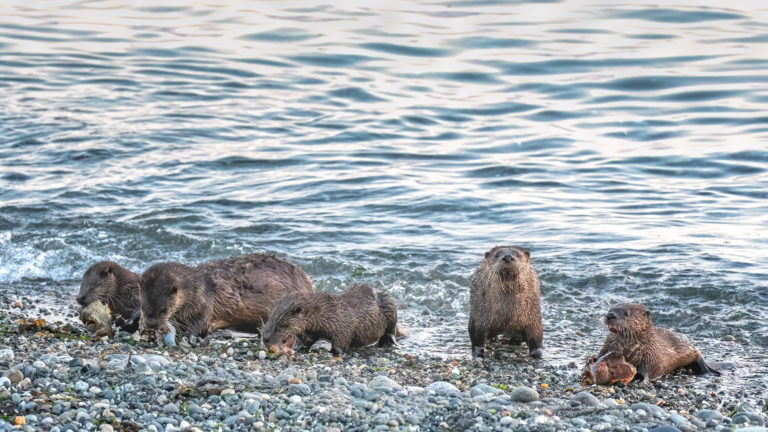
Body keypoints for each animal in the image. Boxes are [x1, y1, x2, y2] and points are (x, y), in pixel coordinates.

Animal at [139, 253, 313, 342]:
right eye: (143, 307)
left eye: (163, 309)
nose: (151, 324)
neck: (199, 288)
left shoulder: (203, 306)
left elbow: (200, 327)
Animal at [261, 283, 398, 356]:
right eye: (269, 321)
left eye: (281, 326)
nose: (265, 338)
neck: (327, 313)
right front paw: (302, 347)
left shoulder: (343, 325)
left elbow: (342, 341)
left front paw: (335, 351)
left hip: (389, 304)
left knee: (391, 328)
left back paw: (388, 342)